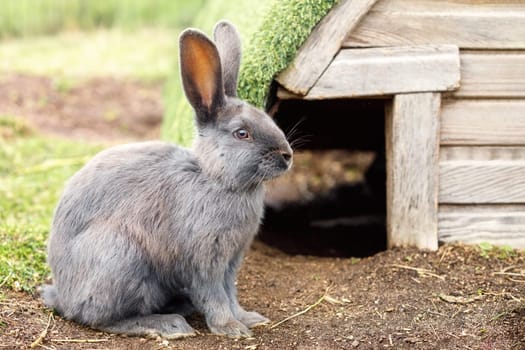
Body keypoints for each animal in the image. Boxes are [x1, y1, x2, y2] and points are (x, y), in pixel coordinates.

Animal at [40, 20, 292, 338]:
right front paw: (230, 328)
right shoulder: (204, 261)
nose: (287, 155)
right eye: (242, 133)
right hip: (120, 257)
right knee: (100, 317)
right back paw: (169, 324)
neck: (215, 177)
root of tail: (62, 295)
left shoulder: (231, 261)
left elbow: (230, 292)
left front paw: (248, 319)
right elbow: (215, 295)